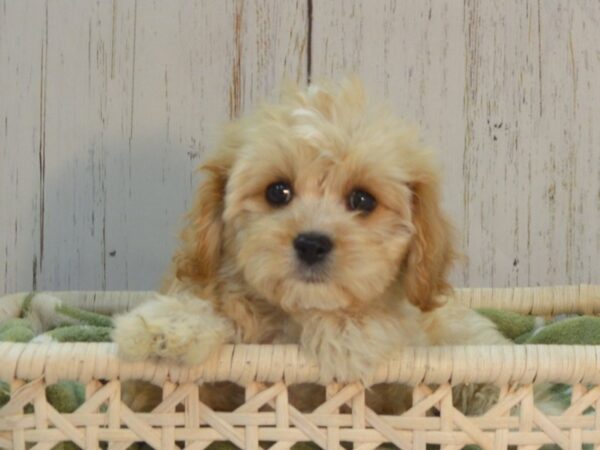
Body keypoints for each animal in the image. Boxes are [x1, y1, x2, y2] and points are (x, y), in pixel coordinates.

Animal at [111, 78, 506, 414]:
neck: (296, 315)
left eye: (362, 200)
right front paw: (165, 326)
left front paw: (348, 333)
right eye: (277, 191)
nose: (312, 244)